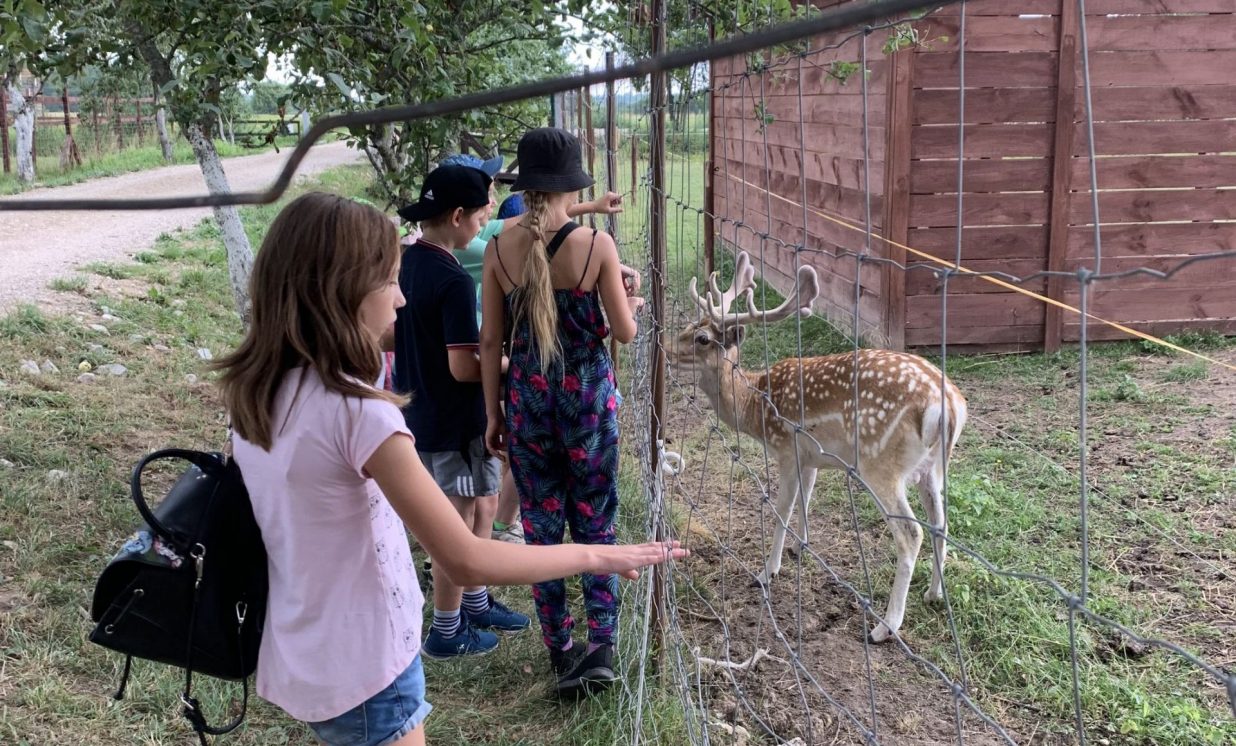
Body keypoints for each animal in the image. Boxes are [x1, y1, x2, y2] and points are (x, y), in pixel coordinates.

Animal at [670, 251, 968, 642]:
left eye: (703, 338)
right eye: (691, 324)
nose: (665, 345)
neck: (754, 407)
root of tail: (948, 405)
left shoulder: (786, 449)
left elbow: (782, 509)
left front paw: (768, 571)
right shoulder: (812, 458)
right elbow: (807, 498)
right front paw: (801, 546)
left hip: (880, 464)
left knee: (911, 533)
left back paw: (884, 627)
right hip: (932, 467)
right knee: (940, 523)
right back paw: (933, 594)